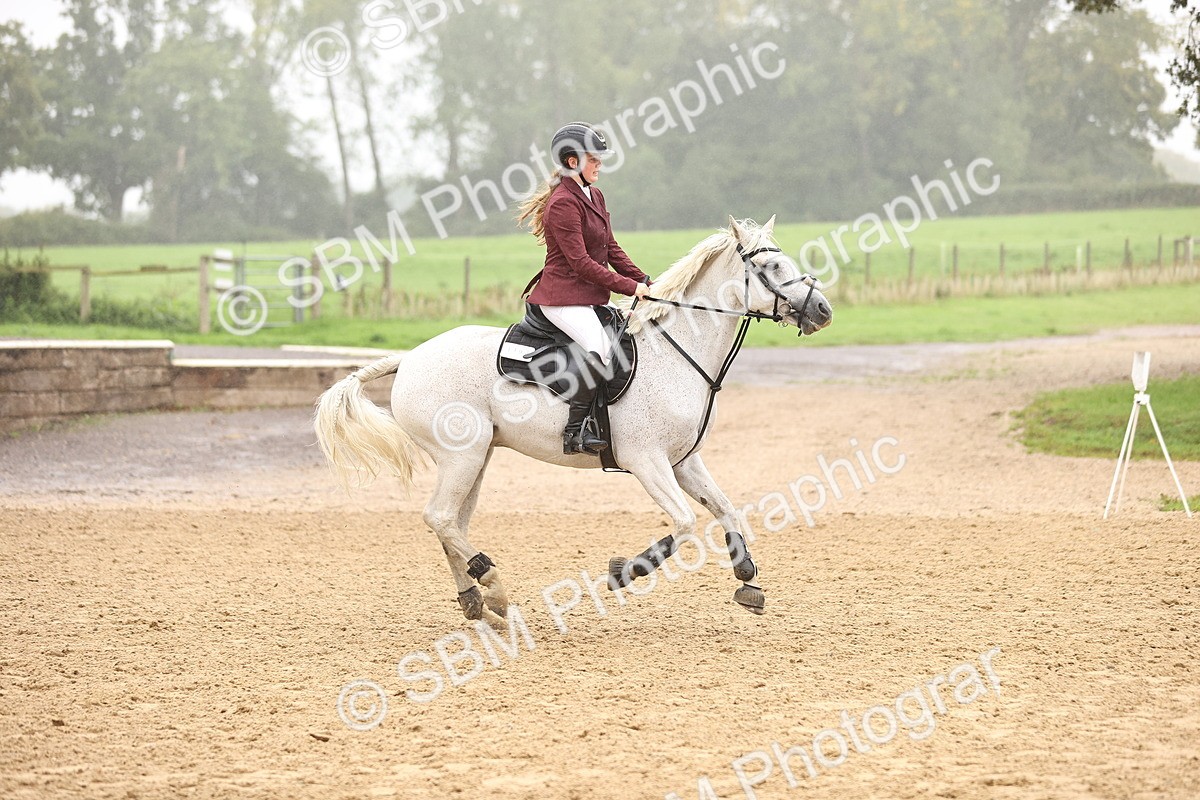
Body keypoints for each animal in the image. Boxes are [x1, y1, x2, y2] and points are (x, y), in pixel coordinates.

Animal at [313, 216, 833, 627]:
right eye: (772, 269)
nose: (823, 310)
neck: (677, 350)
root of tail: (410, 358)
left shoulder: (684, 461)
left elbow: (726, 508)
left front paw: (748, 580)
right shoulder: (647, 461)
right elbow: (685, 523)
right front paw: (625, 572)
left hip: (474, 459)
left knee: (450, 524)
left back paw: (477, 600)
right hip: (463, 456)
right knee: (440, 517)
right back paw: (495, 586)